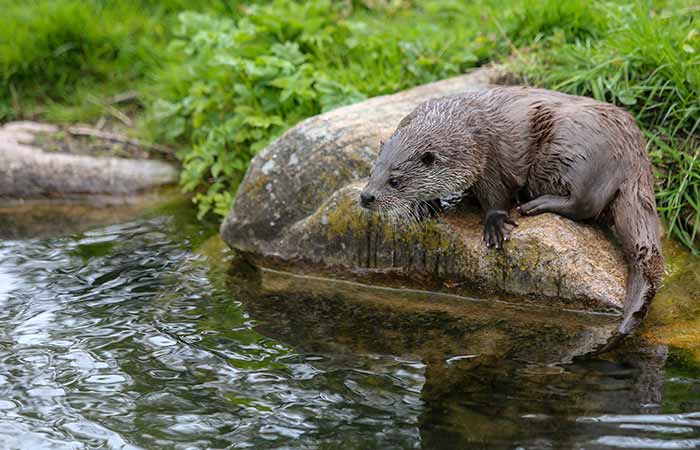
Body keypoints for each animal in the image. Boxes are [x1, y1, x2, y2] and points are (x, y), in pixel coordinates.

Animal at [364, 86, 664, 354]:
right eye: (371, 173)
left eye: (395, 181)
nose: (366, 197)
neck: (466, 132)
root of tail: (634, 151)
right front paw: (427, 204)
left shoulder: (488, 159)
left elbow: (496, 194)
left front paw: (495, 225)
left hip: (574, 151)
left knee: (585, 203)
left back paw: (534, 204)